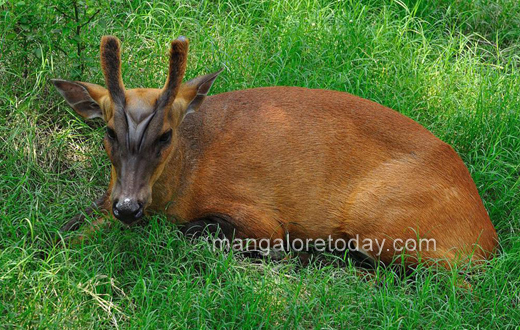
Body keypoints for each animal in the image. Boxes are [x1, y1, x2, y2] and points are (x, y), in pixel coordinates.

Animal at [50, 35, 498, 268]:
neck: (183, 181)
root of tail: (488, 238)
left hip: (382, 219)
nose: (128, 207)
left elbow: (192, 231)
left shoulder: (257, 214)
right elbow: (68, 224)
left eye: (165, 136)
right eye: (109, 131)